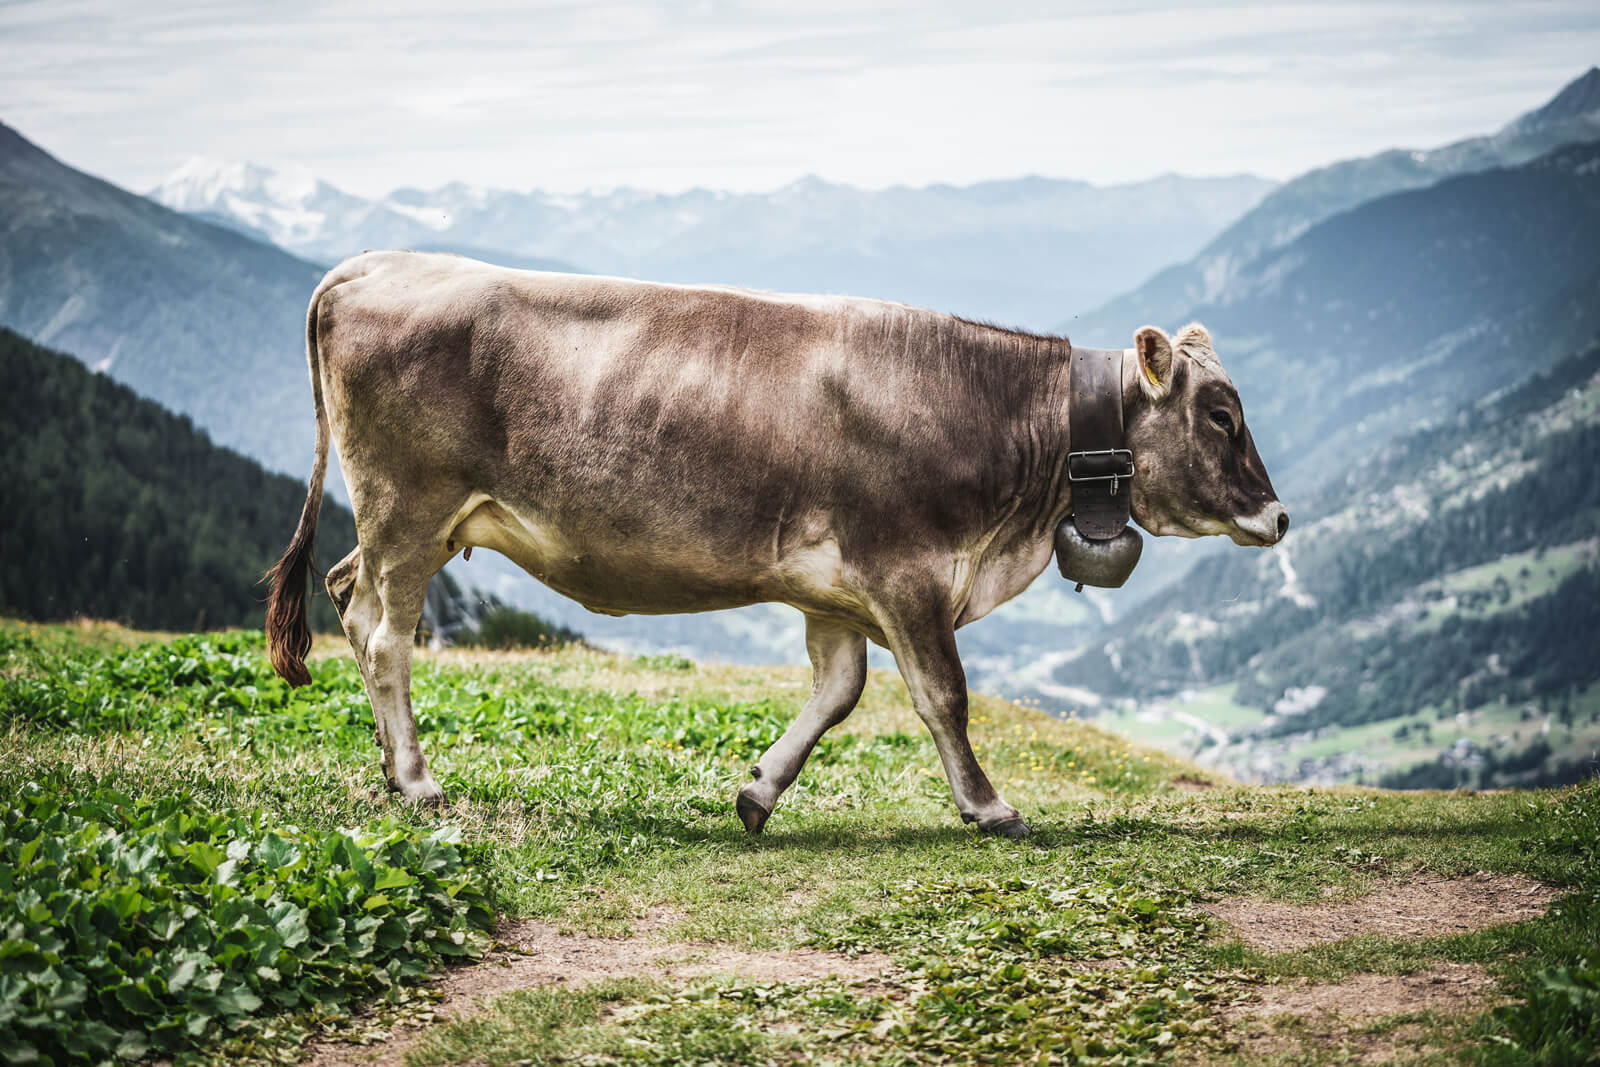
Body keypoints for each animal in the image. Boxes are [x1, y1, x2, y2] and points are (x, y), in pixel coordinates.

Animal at [265, 254, 1286, 838]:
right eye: (1220, 413)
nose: (1278, 518)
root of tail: (367, 265)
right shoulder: (907, 571)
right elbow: (943, 696)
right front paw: (989, 806)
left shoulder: (833, 592)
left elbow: (839, 694)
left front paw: (758, 792)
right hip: (408, 511)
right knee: (384, 635)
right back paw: (418, 780)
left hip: (411, 526)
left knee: (349, 597)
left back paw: (388, 772)